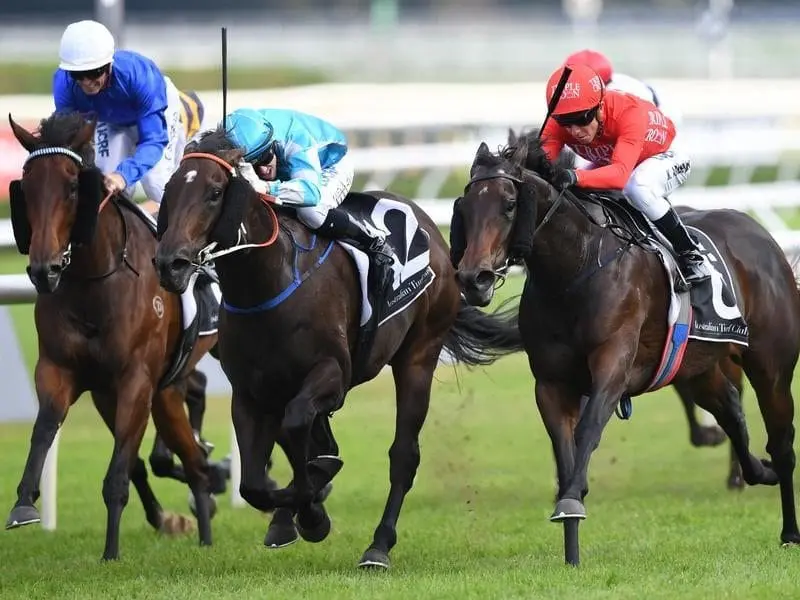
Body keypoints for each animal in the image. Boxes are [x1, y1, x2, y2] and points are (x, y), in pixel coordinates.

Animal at [6, 112, 223, 564]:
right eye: (26, 185)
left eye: (73, 186)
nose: (43, 269)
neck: (93, 280)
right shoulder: (63, 371)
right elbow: (44, 428)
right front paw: (24, 503)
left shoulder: (135, 380)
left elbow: (118, 473)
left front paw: (110, 552)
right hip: (152, 390)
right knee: (185, 440)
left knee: (193, 456)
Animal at [153, 126, 524, 568]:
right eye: (171, 190)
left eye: (213, 192)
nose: (170, 263)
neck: (269, 282)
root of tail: (431, 230)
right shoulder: (249, 393)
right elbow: (254, 483)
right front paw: (297, 508)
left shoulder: (331, 373)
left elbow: (299, 434)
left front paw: (313, 511)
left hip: (418, 357)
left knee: (402, 455)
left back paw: (377, 545)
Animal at [454, 134, 796, 564]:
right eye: (466, 206)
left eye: (510, 203)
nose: (474, 278)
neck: (575, 267)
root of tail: (759, 232)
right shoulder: (550, 382)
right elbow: (564, 449)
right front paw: (571, 542)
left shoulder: (612, 365)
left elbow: (587, 430)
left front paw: (572, 502)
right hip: (697, 367)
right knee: (732, 410)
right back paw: (757, 472)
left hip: (771, 365)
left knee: (781, 442)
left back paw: (789, 529)